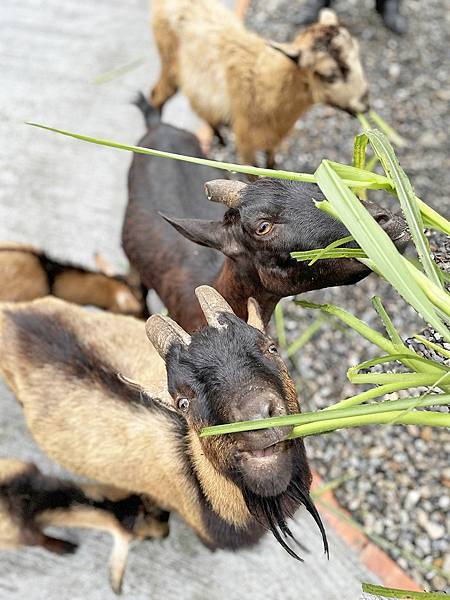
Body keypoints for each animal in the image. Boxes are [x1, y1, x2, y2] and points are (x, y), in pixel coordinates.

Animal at [151, 2, 370, 166]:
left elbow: (271, 162)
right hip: (168, 60)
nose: (364, 104)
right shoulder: (245, 143)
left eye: (358, 55)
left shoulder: (273, 137)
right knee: (157, 95)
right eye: (328, 75)